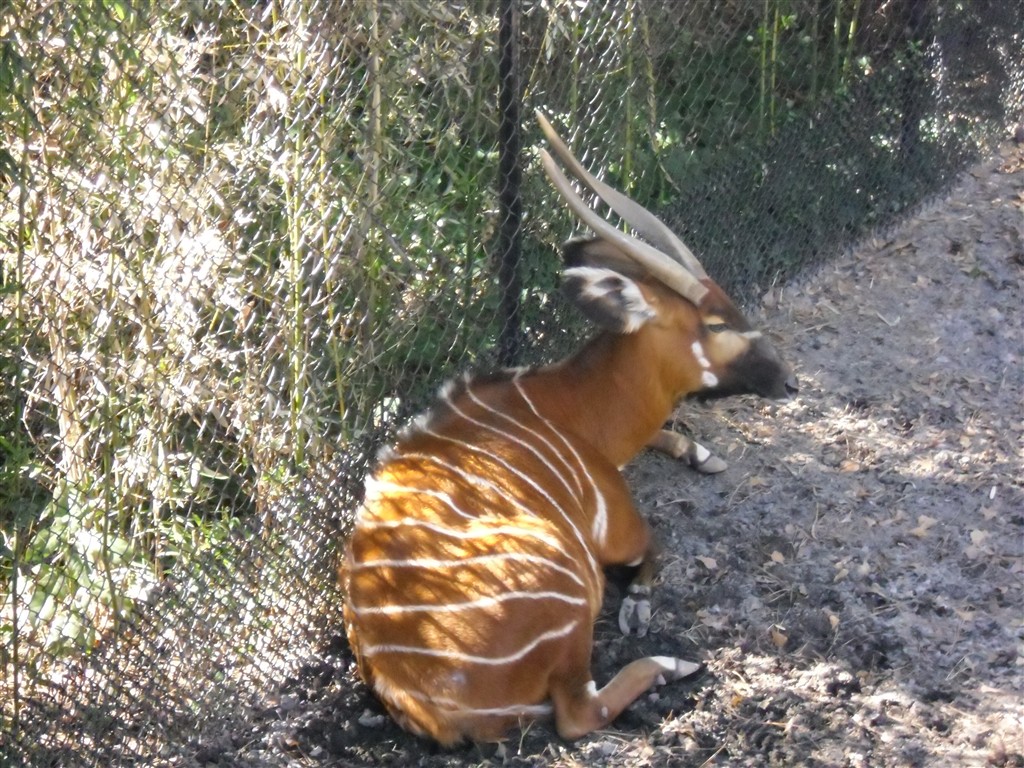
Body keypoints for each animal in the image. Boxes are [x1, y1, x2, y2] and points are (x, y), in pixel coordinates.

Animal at [340, 113, 798, 746]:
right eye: (715, 324)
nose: (788, 380)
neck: (571, 406)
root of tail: (430, 704)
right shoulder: (619, 529)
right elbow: (656, 545)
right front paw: (639, 605)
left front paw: (701, 452)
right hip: (575, 595)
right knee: (582, 713)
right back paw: (669, 663)